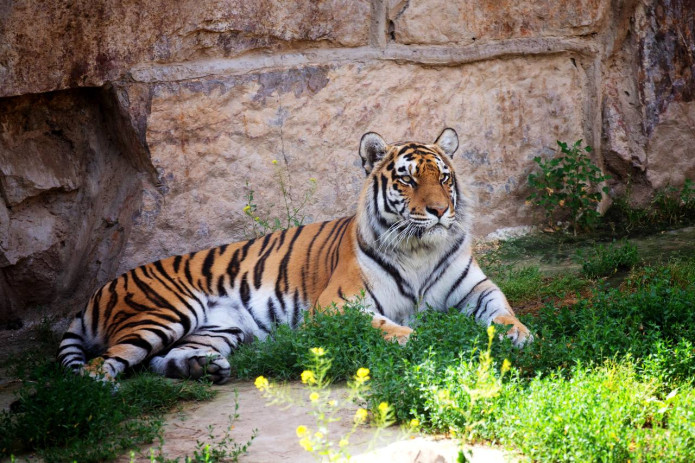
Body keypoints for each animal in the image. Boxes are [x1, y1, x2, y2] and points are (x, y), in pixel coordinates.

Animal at [58, 128, 532, 384]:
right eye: (408, 180)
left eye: (444, 178)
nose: (438, 210)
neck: (419, 249)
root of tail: (95, 294)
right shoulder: (337, 307)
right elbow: (395, 330)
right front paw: (429, 342)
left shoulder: (476, 287)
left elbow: (503, 309)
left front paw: (521, 336)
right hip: (165, 312)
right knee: (97, 369)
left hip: (217, 329)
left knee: (161, 360)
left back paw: (201, 371)